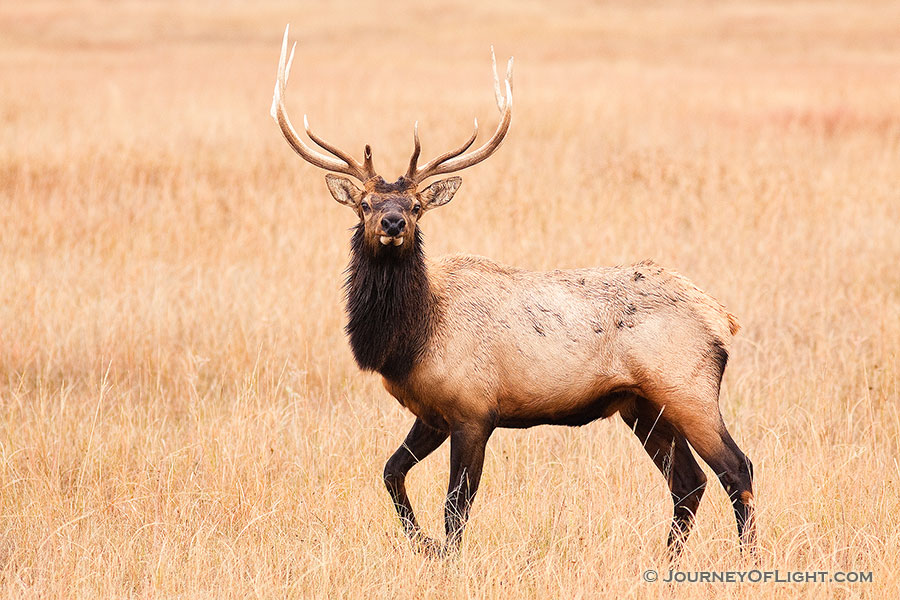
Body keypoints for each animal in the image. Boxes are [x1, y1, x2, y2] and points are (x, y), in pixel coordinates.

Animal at [270, 25, 756, 556]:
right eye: (364, 203)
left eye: (417, 205)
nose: (393, 222)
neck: (411, 339)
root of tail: (723, 319)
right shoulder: (433, 413)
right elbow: (391, 472)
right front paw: (422, 545)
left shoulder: (474, 411)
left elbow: (455, 508)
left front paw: (443, 555)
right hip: (642, 405)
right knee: (688, 482)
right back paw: (667, 561)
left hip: (688, 389)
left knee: (737, 468)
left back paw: (745, 558)